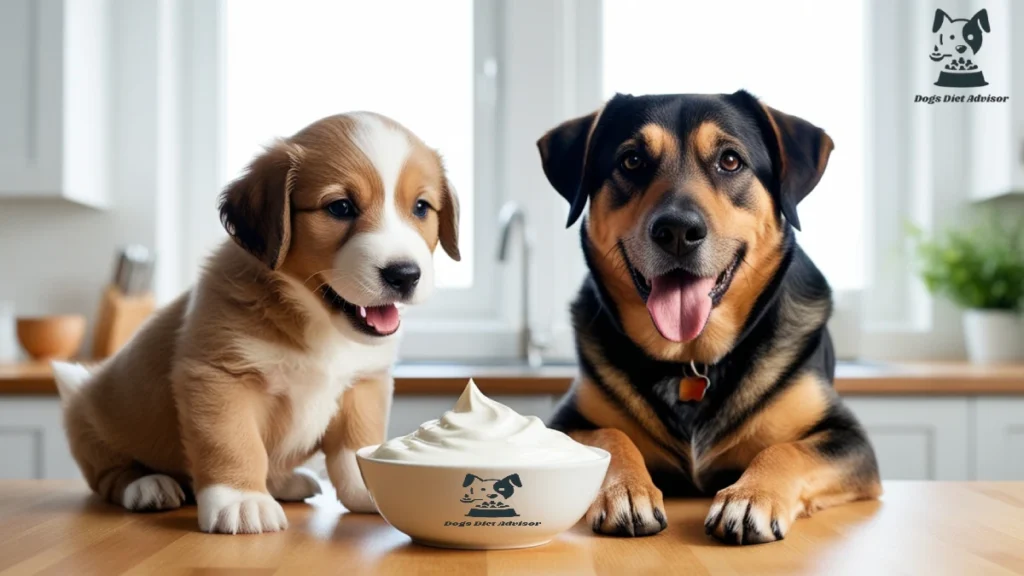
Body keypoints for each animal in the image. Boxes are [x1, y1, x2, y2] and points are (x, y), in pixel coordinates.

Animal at [51, 112, 460, 532]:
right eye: (341, 207)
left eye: (421, 207)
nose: (404, 275)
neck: (319, 323)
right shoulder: (218, 377)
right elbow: (234, 444)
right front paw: (241, 499)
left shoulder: (364, 383)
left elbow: (355, 445)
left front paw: (369, 488)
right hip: (94, 429)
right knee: (110, 477)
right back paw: (149, 486)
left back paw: (287, 482)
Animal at [536, 90, 880, 541]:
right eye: (631, 160)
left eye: (730, 160)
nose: (678, 231)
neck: (691, 359)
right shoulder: (563, 422)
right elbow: (609, 436)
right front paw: (626, 491)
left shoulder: (850, 440)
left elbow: (787, 449)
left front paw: (750, 497)